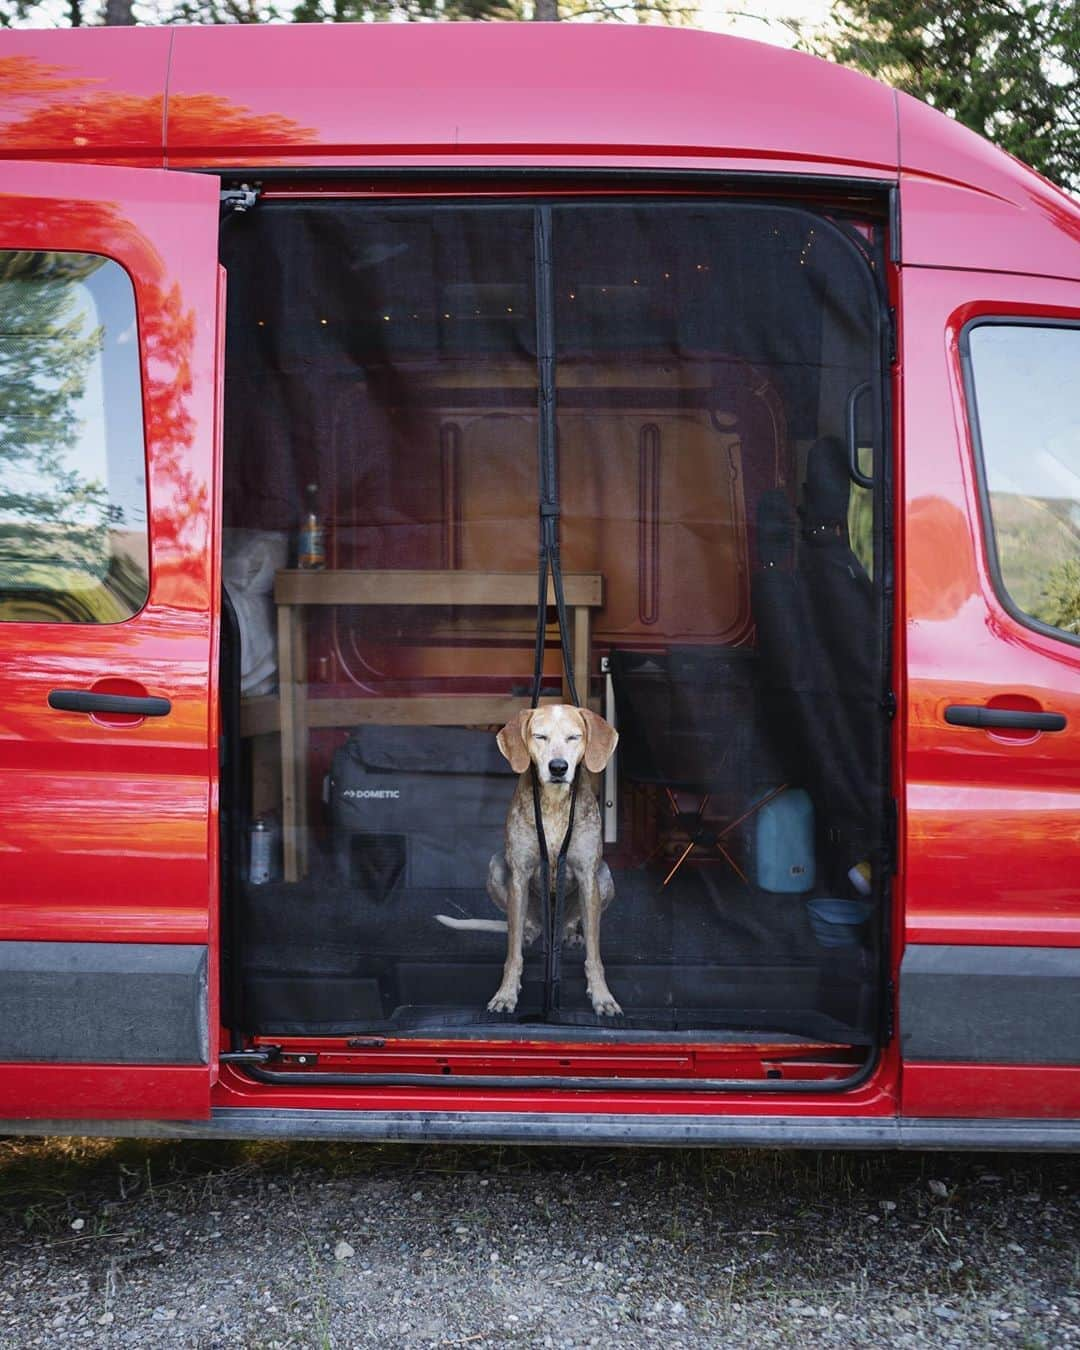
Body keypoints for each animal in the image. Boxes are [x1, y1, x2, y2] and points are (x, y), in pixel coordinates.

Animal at [434, 707, 621, 1015]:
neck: (555, 804)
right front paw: (506, 993)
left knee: (574, 920)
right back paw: (527, 932)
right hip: (497, 868)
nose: (558, 767)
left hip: (604, 876)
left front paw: (602, 996)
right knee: (522, 926)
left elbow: (594, 957)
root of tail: (548, 929)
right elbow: (513, 957)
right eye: (540, 736)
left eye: (574, 737)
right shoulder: (519, 876)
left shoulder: (587, 875)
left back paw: (570, 932)